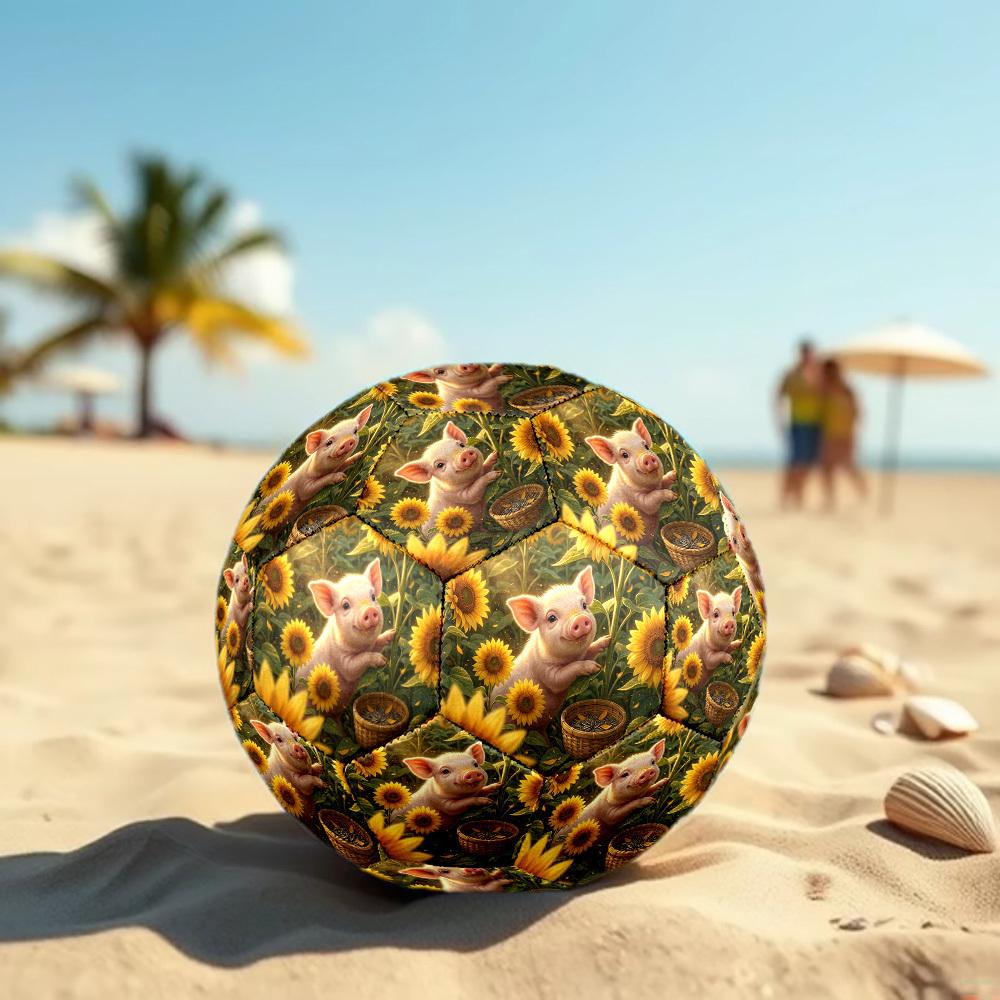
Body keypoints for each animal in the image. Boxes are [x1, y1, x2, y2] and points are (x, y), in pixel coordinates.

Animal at [294, 558, 396, 710]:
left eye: (373, 597)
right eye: (345, 605)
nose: (370, 610)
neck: (360, 648)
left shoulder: (371, 645)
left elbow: (378, 642)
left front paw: (392, 633)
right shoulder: (343, 662)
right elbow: (355, 665)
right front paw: (382, 660)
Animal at [490, 565, 611, 729]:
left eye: (584, 605)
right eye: (551, 618)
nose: (579, 618)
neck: (569, 658)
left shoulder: (582, 653)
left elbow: (590, 650)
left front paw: (607, 640)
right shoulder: (546, 672)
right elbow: (562, 677)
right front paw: (594, 667)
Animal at [585, 418, 678, 546]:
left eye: (646, 446)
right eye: (624, 455)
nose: (647, 457)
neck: (651, 487)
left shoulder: (660, 484)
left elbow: (665, 481)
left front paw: (674, 474)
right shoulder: (640, 500)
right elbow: (652, 501)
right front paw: (673, 496)